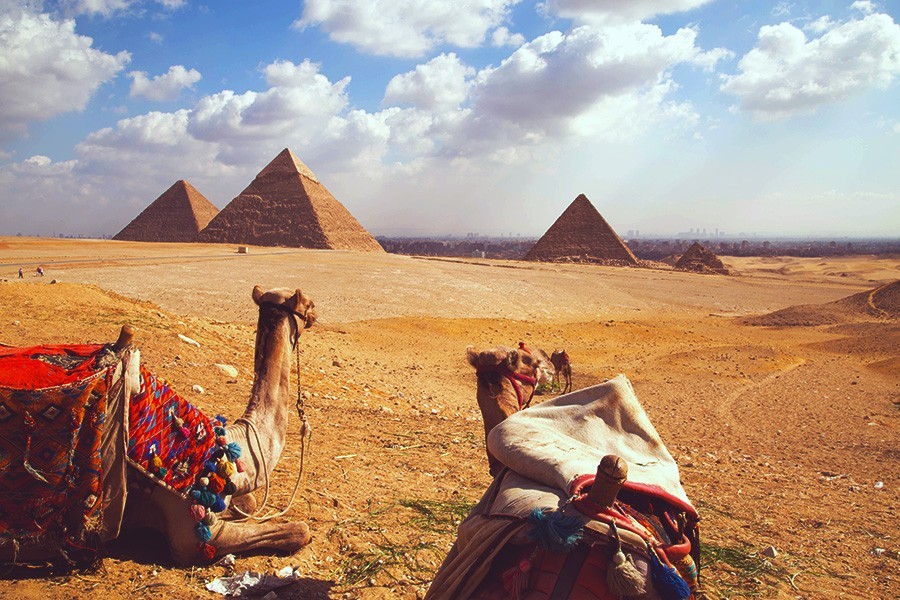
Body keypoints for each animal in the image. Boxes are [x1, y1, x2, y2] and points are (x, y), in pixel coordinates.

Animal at [0, 286, 316, 568]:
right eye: (308, 304)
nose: (315, 313)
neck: (233, 452)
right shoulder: (197, 534)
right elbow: (299, 531)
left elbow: (248, 503)